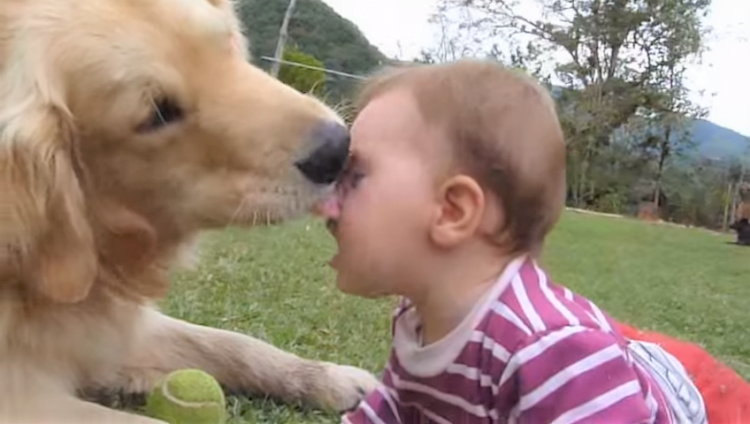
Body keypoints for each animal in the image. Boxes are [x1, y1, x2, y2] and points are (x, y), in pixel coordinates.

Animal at [1, 0, 382, 422]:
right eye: (158, 113)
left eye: (226, 44)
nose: (338, 150)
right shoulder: (21, 398)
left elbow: (232, 343)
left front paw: (329, 377)